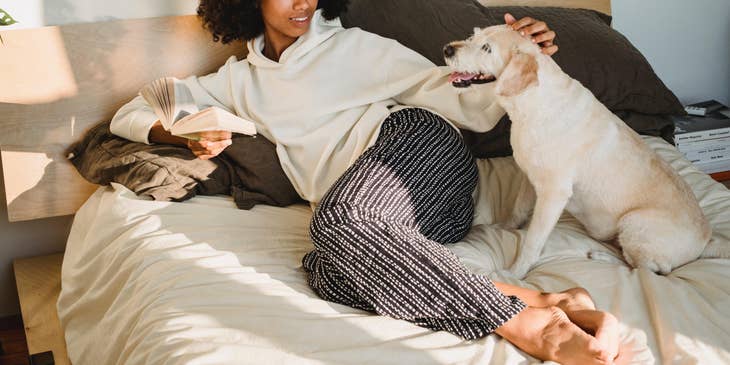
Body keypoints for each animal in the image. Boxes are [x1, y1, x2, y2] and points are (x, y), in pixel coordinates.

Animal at [444, 24, 712, 276]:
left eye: (486, 48)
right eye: (473, 36)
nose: (447, 49)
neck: (532, 105)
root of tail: (707, 239)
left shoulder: (553, 194)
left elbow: (532, 242)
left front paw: (515, 273)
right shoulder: (529, 178)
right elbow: (518, 209)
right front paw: (504, 228)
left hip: (634, 224)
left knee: (645, 270)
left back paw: (603, 257)